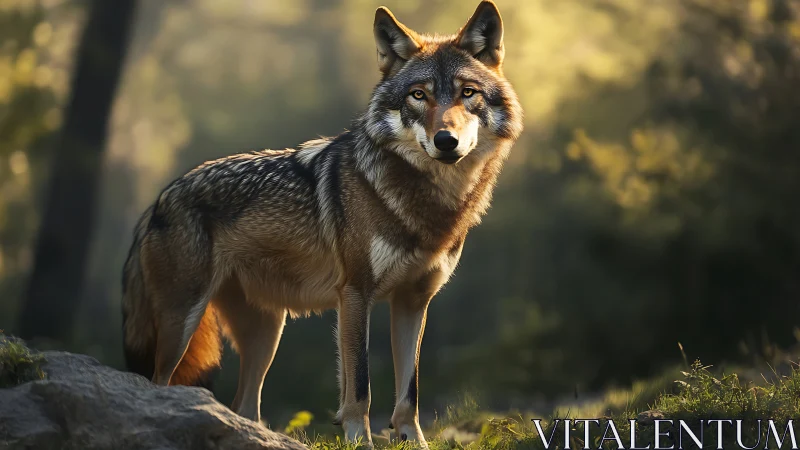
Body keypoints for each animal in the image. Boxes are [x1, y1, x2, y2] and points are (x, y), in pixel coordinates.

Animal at [122, 1, 522, 446]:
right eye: (419, 95)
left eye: (467, 93)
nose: (446, 141)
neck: (431, 203)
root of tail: (159, 200)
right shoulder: (355, 294)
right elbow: (360, 385)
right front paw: (359, 439)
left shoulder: (414, 301)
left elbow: (409, 391)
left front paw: (412, 440)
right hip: (183, 325)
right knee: (159, 383)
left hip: (266, 334)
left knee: (244, 405)